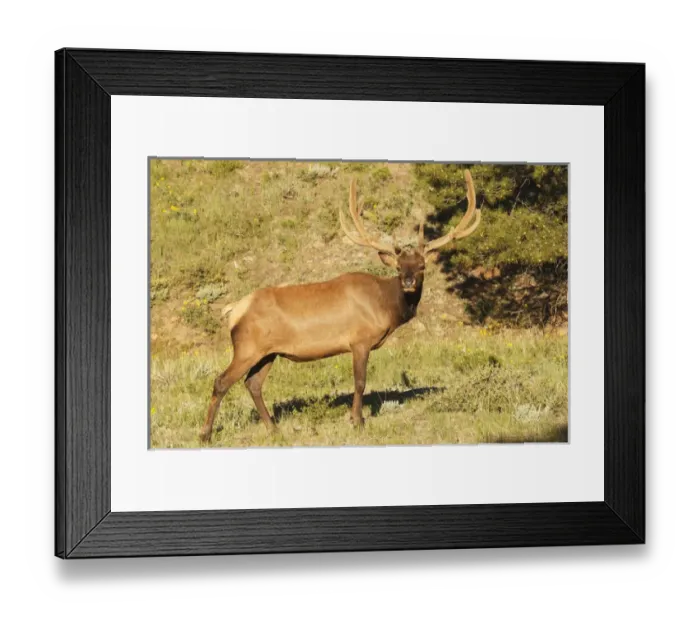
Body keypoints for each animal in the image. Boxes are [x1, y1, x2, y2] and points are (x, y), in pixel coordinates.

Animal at [199, 169, 481, 442]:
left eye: (421, 266)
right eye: (400, 267)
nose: (409, 282)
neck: (385, 305)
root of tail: (233, 310)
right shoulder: (359, 340)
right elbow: (360, 382)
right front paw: (357, 421)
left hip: (268, 353)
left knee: (253, 384)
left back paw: (273, 429)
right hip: (247, 348)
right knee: (221, 381)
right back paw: (206, 434)